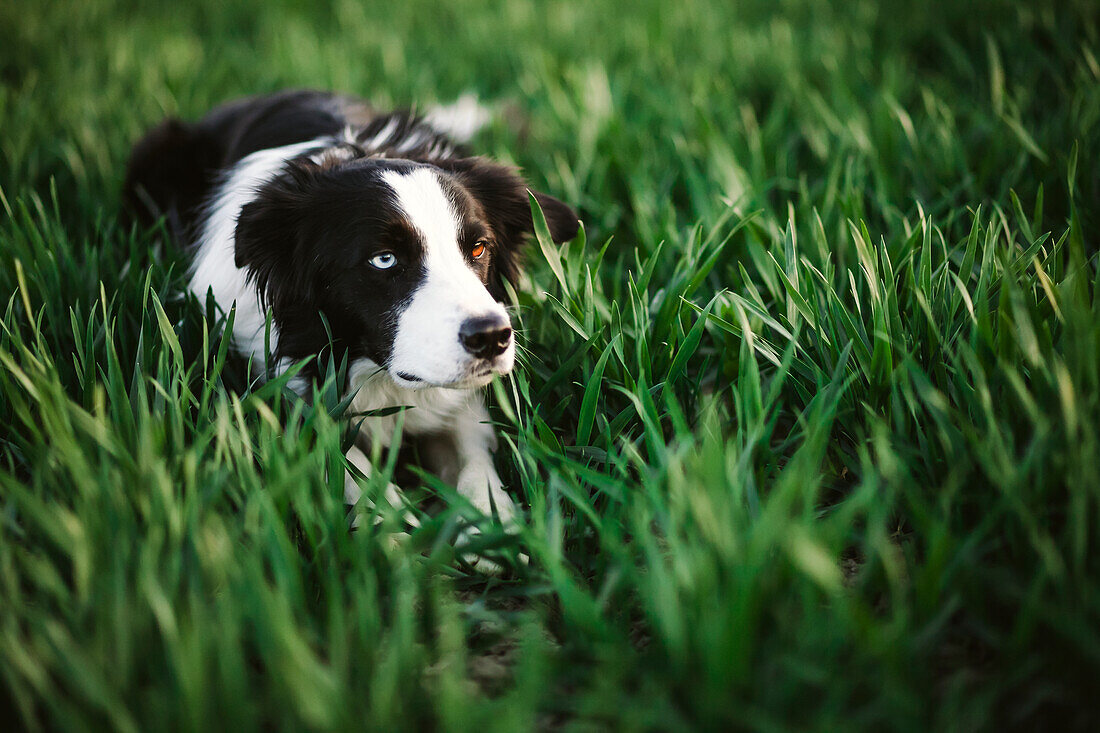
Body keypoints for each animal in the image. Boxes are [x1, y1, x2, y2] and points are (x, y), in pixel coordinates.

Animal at [124, 89, 580, 548]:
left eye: (479, 248)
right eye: (384, 259)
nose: (491, 337)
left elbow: (473, 453)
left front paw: (493, 531)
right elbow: (347, 459)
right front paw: (396, 535)